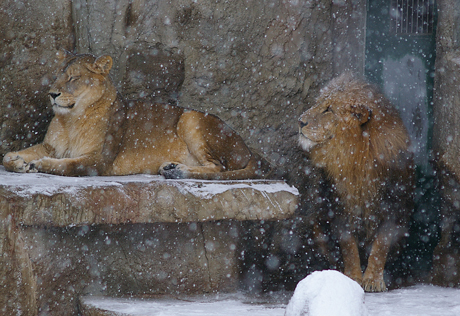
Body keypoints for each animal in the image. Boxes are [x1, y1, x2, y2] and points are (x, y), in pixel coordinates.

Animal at [3, 48, 268, 178]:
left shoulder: (98, 159)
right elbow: (6, 156)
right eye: (58, 76)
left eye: (74, 78)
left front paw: (38, 164)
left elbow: (66, 166)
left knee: (218, 167)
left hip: (190, 118)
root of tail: (247, 148)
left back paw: (178, 172)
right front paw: (18, 162)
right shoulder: (50, 146)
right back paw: (171, 168)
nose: (52, 93)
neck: (71, 120)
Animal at [300, 73, 416, 292]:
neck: (356, 159)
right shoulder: (337, 204)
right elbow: (348, 247)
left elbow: (381, 245)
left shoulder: (392, 204)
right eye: (318, 103)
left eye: (328, 109)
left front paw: (373, 280)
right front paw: (352, 278)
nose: (300, 122)